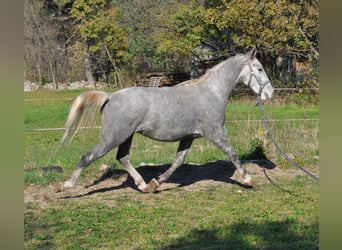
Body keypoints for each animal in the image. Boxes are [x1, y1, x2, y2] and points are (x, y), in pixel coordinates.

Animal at [53, 48, 274, 193]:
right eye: (259, 69)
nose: (270, 93)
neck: (211, 93)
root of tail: (111, 96)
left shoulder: (189, 137)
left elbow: (178, 162)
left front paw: (156, 183)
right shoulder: (215, 133)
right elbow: (232, 153)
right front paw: (248, 179)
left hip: (126, 136)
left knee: (123, 158)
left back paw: (143, 185)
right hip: (112, 137)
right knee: (88, 156)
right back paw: (64, 186)